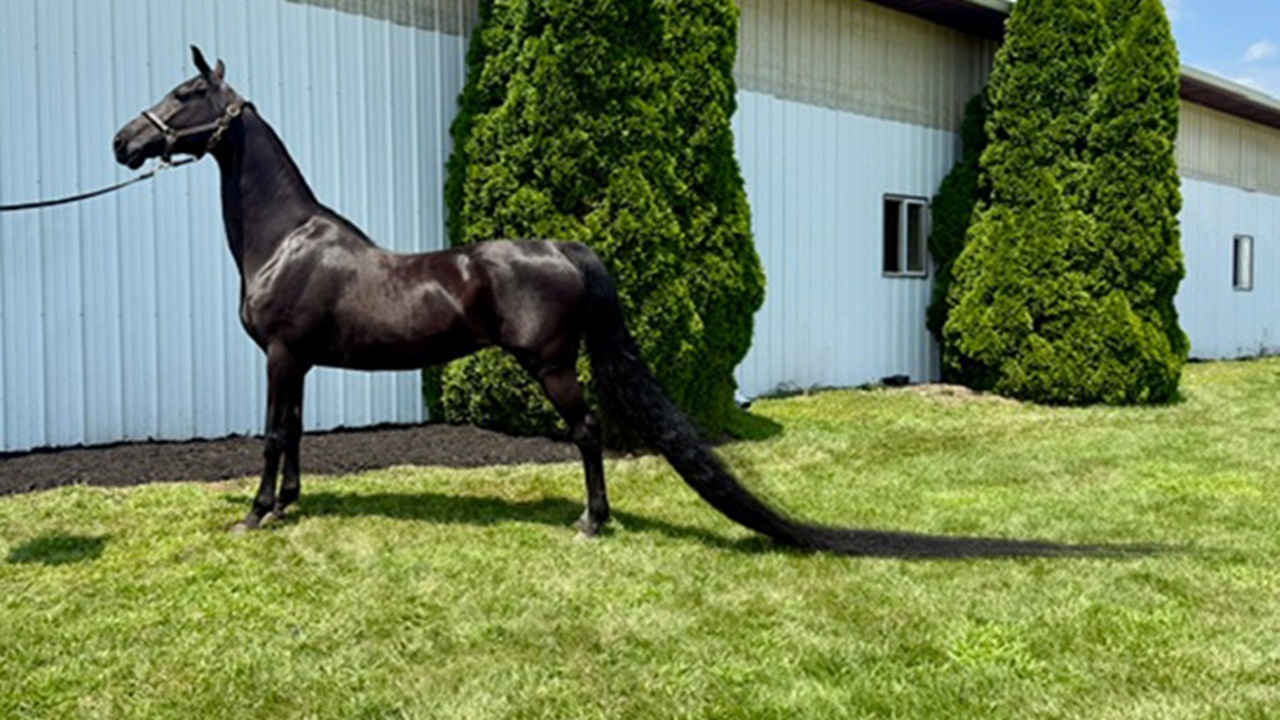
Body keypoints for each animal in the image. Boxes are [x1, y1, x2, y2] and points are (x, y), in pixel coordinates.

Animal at [111, 48, 1100, 558]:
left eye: (187, 92)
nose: (124, 142)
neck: (288, 238)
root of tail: (573, 249)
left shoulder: (281, 355)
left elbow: (271, 435)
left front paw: (254, 514)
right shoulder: (302, 363)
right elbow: (295, 434)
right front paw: (287, 508)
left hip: (552, 367)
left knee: (589, 434)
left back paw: (593, 522)